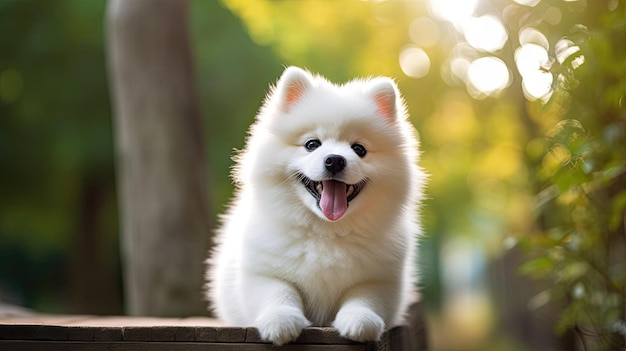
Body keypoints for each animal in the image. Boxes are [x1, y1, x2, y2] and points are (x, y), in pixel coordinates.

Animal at [205, 66, 424, 346]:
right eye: (312, 144)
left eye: (359, 149)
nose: (335, 160)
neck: (326, 230)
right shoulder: (263, 273)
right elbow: (279, 292)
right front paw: (281, 320)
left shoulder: (381, 279)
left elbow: (364, 297)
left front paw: (360, 320)